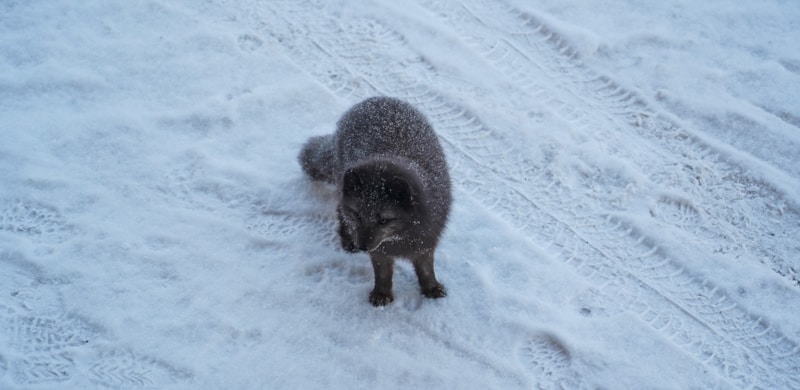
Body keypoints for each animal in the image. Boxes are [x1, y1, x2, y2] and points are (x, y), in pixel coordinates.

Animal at [298, 96, 454, 306]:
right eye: (358, 215)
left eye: (384, 220)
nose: (362, 246)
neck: (400, 238)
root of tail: (372, 100)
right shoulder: (380, 251)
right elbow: (382, 273)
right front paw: (381, 294)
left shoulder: (426, 242)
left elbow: (426, 269)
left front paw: (431, 288)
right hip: (341, 178)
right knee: (339, 208)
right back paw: (347, 238)